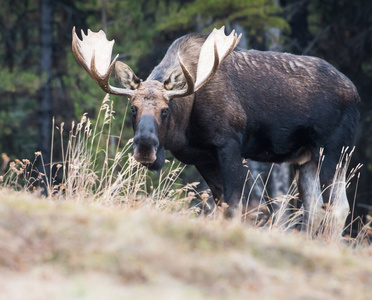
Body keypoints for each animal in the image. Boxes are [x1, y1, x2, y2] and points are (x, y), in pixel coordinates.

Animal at [72, 26, 360, 237]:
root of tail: (356, 94)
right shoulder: (202, 157)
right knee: (314, 209)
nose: (144, 145)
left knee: (338, 208)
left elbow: (233, 207)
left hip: (333, 151)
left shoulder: (229, 144)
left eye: (166, 109)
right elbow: (221, 207)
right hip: (306, 158)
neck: (186, 125)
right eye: (133, 108)